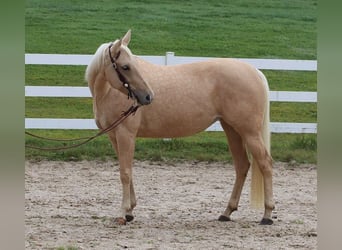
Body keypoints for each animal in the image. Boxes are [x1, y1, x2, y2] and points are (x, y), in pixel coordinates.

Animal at [85, 29, 276, 225]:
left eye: (132, 64)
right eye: (125, 67)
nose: (148, 96)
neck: (108, 92)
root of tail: (255, 72)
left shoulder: (126, 134)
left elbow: (125, 173)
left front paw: (123, 213)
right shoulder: (114, 136)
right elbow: (128, 172)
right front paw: (130, 211)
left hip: (249, 132)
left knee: (265, 164)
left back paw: (267, 214)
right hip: (232, 129)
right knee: (242, 166)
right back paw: (227, 212)